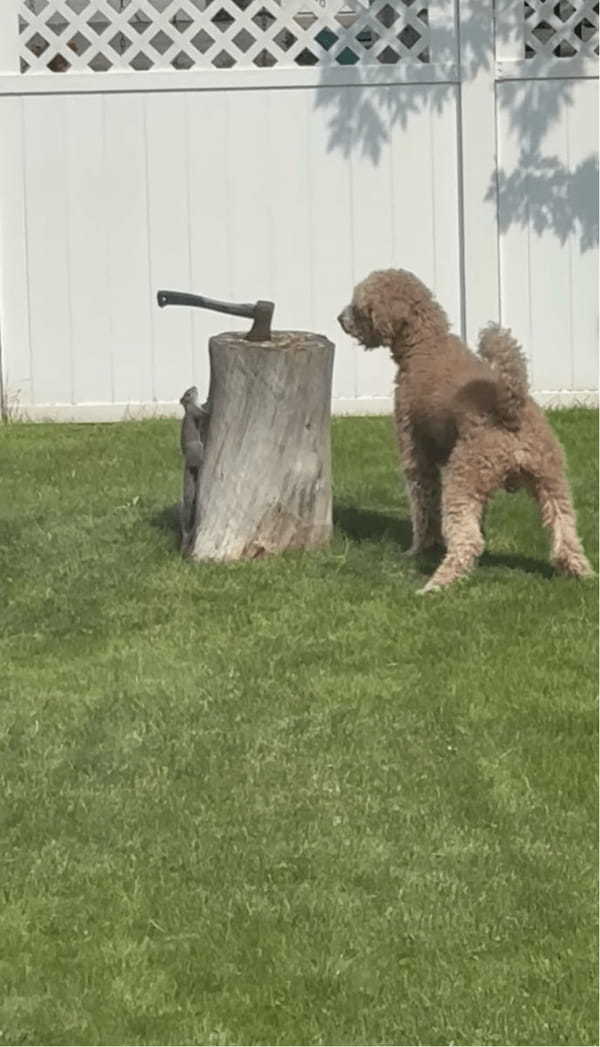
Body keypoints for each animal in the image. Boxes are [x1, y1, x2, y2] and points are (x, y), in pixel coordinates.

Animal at [159, 286, 337, 565]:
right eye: (189, 391)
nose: (194, 388)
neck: (186, 406)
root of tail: (188, 460)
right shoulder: (195, 412)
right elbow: (203, 413)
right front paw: (208, 403)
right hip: (197, 450)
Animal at [339, 265, 590, 594]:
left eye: (358, 305)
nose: (340, 318)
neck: (425, 345)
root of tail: (510, 412)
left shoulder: (416, 453)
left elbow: (423, 507)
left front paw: (419, 549)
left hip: (463, 477)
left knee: (467, 542)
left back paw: (436, 585)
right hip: (550, 482)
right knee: (566, 532)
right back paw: (582, 574)